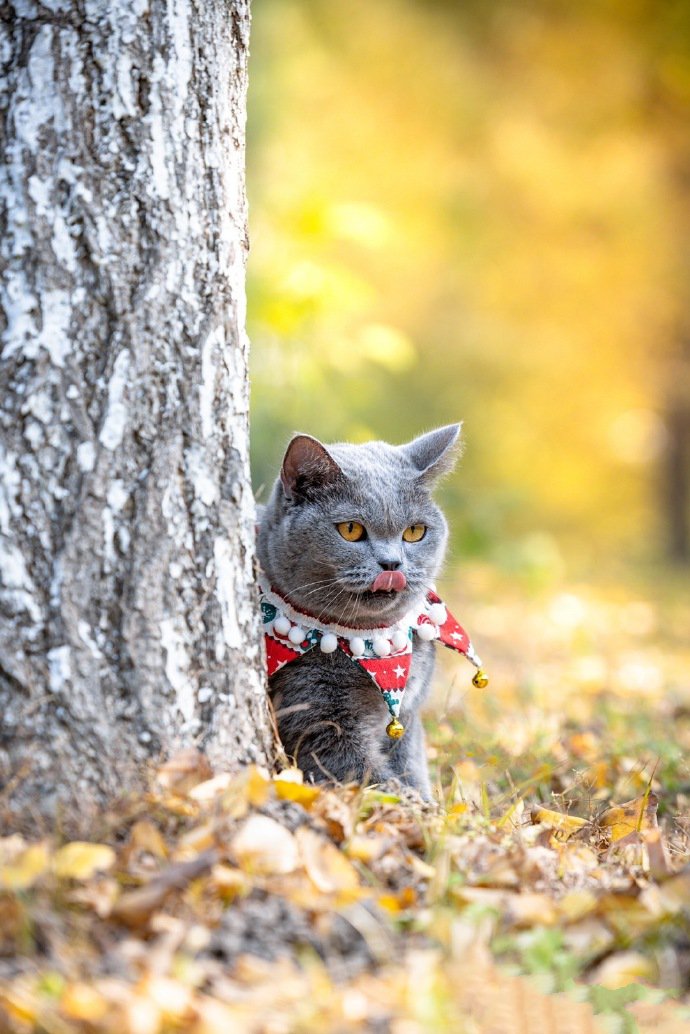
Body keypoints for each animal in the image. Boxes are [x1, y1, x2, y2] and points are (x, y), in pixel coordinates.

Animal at [257, 423, 463, 794]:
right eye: (350, 529)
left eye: (415, 531)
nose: (392, 563)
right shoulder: (318, 721)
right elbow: (372, 780)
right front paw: (420, 808)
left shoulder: (407, 717)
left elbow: (411, 768)